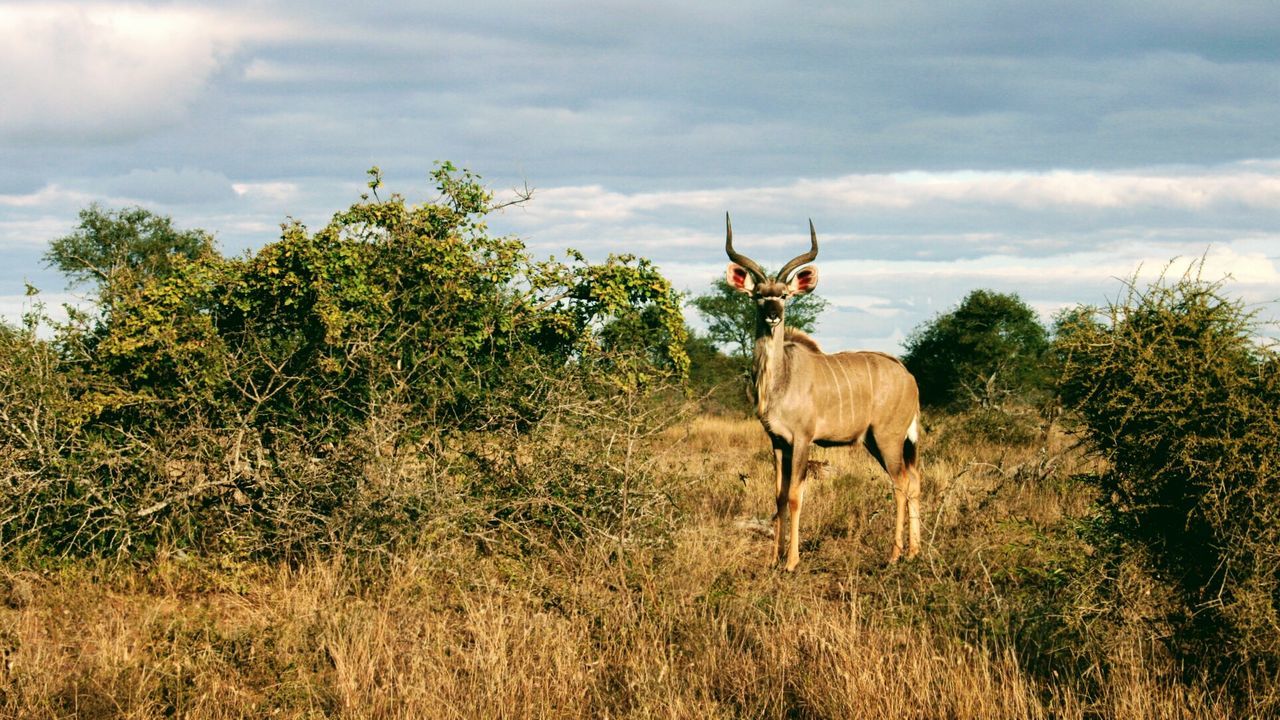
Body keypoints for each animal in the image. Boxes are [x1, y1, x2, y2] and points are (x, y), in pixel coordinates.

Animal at [727, 212, 926, 566]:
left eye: (784, 295)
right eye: (759, 295)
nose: (773, 315)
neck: (780, 380)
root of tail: (909, 377)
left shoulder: (802, 440)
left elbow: (795, 496)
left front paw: (791, 561)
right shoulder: (777, 442)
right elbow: (778, 495)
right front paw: (773, 559)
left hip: (887, 438)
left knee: (901, 482)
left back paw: (894, 555)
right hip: (876, 442)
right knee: (913, 480)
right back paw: (914, 551)